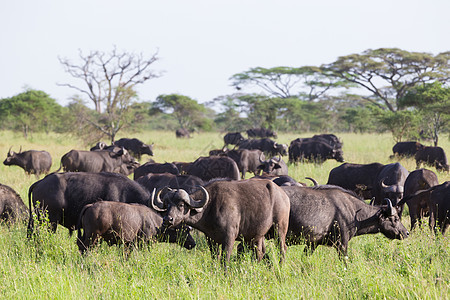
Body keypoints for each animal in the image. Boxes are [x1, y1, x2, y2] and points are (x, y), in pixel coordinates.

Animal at [153, 178, 290, 264]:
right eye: (167, 204)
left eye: (181, 205)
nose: (168, 219)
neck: (210, 206)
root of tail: (283, 195)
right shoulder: (211, 240)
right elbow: (215, 258)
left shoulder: (229, 238)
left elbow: (225, 259)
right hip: (257, 235)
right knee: (260, 252)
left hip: (280, 228)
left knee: (282, 249)